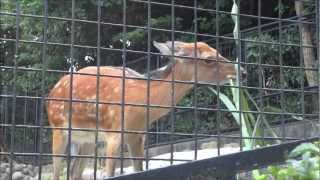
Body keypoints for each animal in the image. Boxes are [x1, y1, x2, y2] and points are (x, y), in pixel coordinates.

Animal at [45, 41, 240, 179]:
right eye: (208, 58)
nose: (242, 71)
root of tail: (52, 92)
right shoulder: (114, 132)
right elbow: (110, 173)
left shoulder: (138, 136)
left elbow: (140, 170)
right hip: (58, 127)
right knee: (57, 171)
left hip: (87, 139)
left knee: (74, 171)